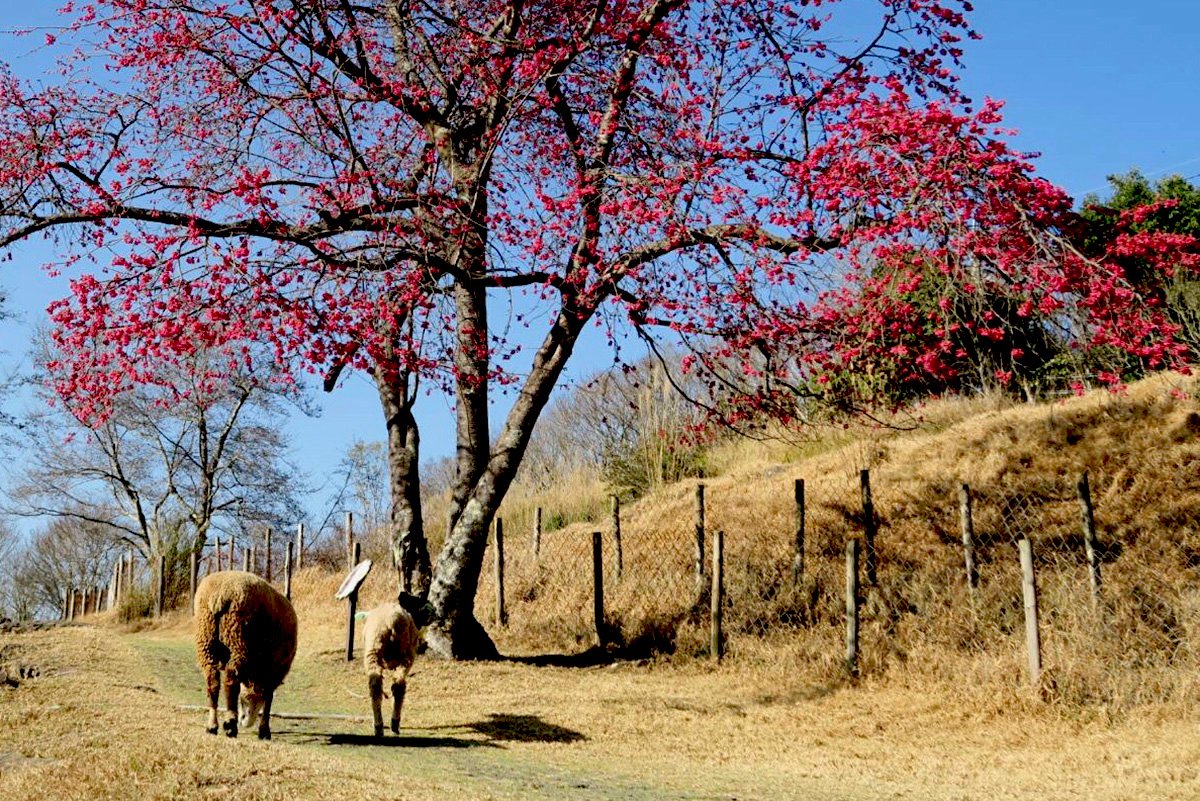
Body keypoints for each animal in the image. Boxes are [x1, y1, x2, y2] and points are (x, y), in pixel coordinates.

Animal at [193, 573, 296, 743]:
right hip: (237, 639)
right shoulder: (274, 671)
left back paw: (212, 726)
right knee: (230, 683)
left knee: (212, 682)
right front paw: (264, 731)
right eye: (245, 700)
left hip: (206, 638)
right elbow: (269, 698)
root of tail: (220, 595)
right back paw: (230, 725)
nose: (244, 721)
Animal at [362, 587, 434, 738]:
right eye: (419, 602)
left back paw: (378, 726)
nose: (434, 612)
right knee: (399, 686)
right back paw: (394, 723)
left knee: (375, 685)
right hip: (405, 656)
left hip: (372, 652)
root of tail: (390, 623)